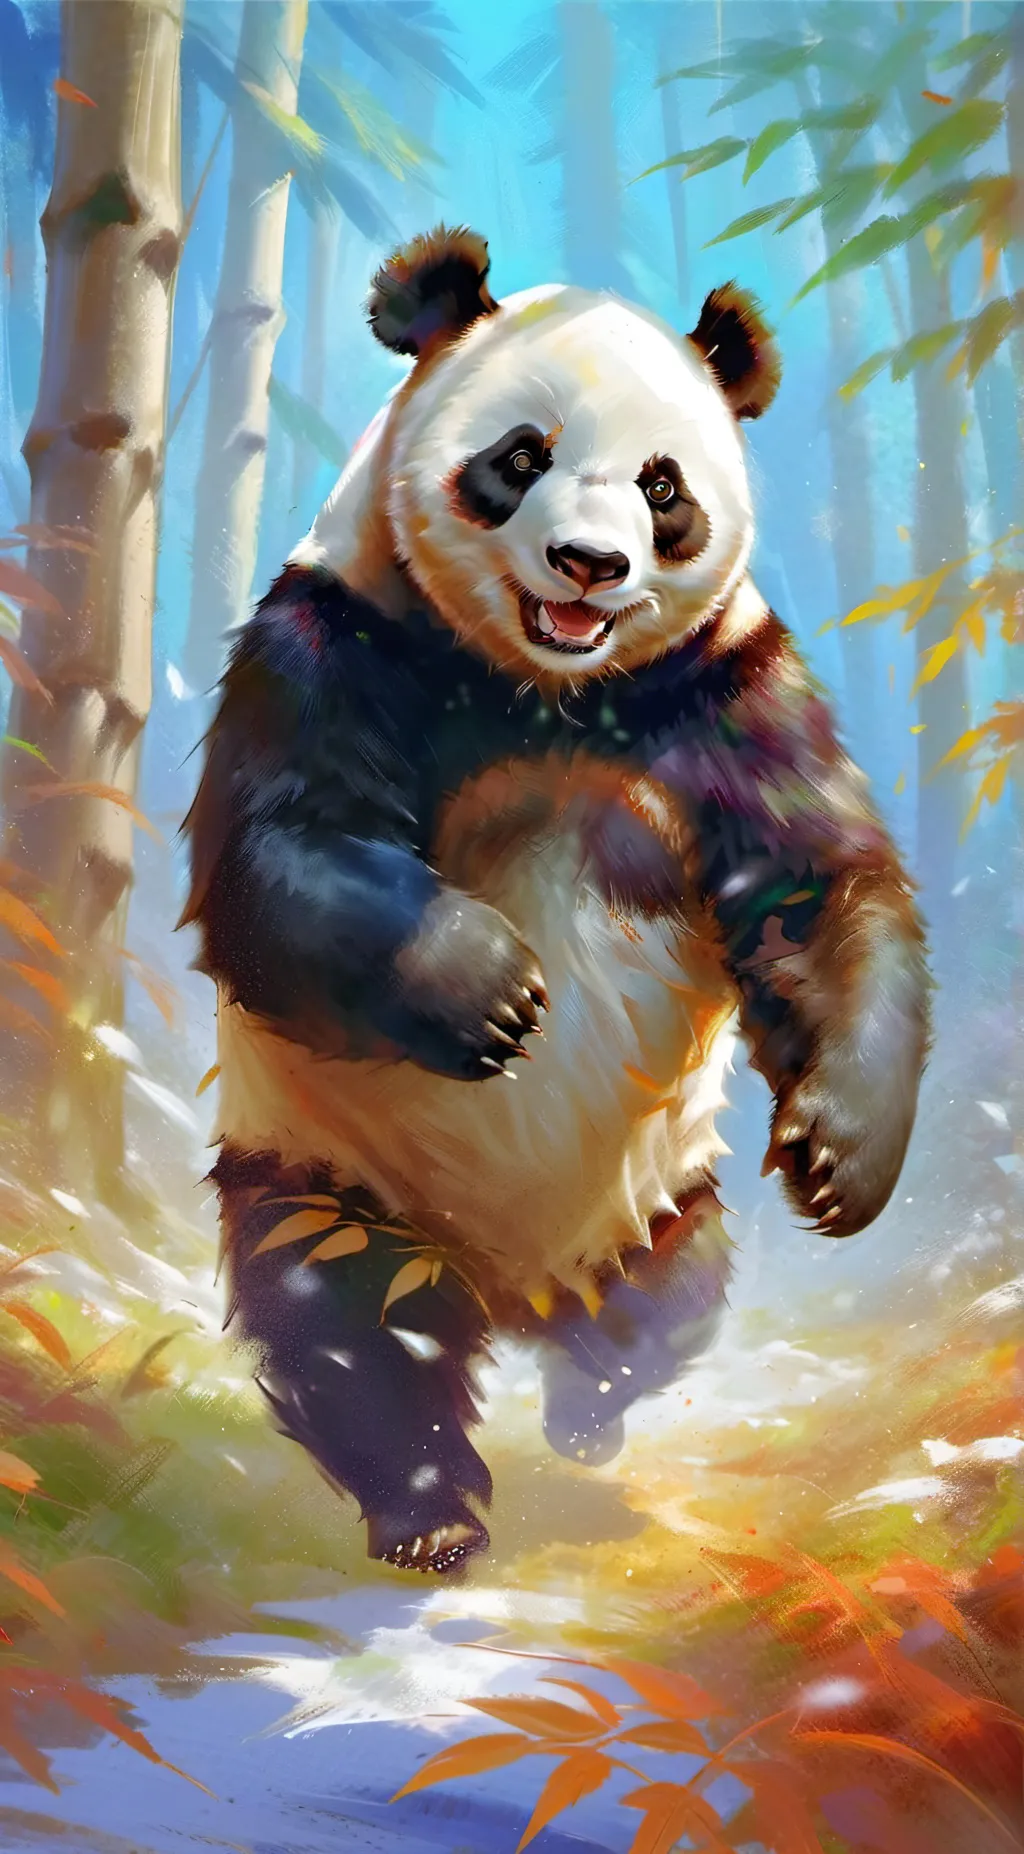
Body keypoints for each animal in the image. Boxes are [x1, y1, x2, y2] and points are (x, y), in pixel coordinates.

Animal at [181, 226, 930, 1575]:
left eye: (661, 487)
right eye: (518, 458)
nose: (590, 562)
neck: (545, 686)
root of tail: (507, 1288)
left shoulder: (722, 685)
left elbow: (814, 887)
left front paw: (838, 1155)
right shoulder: (334, 635)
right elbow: (276, 861)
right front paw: (490, 991)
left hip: (657, 1188)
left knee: (668, 1300)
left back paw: (588, 1401)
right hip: (328, 1158)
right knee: (347, 1315)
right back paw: (428, 1507)